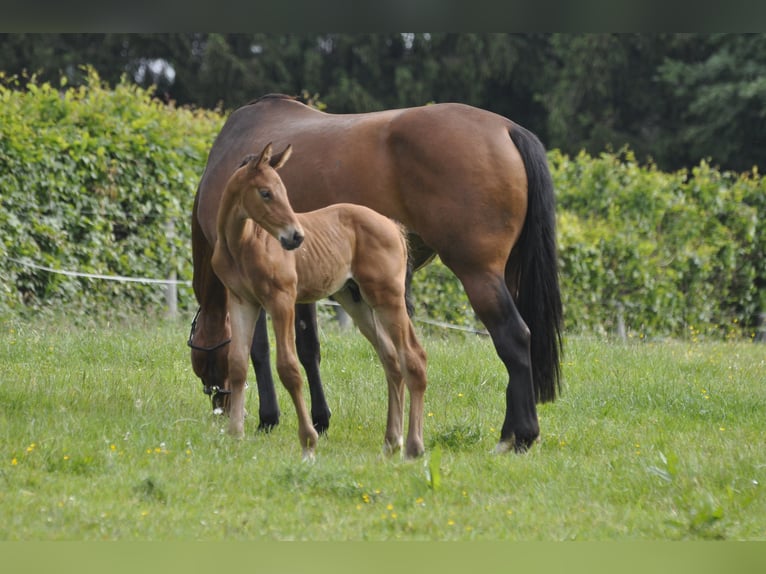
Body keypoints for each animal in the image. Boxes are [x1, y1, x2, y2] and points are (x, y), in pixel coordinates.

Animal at [212, 145, 426, 464]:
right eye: (265, 193)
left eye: (284, 191)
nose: (296, 237)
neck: (242, 244)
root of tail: (392, 226)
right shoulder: (242, 301)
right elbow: (238, 363)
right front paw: (235, 434)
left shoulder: (282, 301)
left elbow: (289, 368)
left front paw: (309, 442)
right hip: (357, 302)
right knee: (391, 361)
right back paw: (391, 442)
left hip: (387, 298)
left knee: (413, 357)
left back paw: (413, 446)